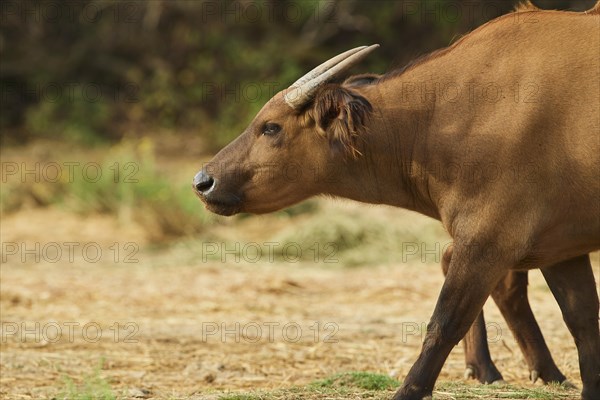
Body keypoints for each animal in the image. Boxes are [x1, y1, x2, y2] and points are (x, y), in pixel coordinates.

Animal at [195, 3, 596, 400]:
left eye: (271, 127)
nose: (203, 181)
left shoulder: (495, 239)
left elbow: (445, 323)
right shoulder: (552, 248)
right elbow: (584, 326)